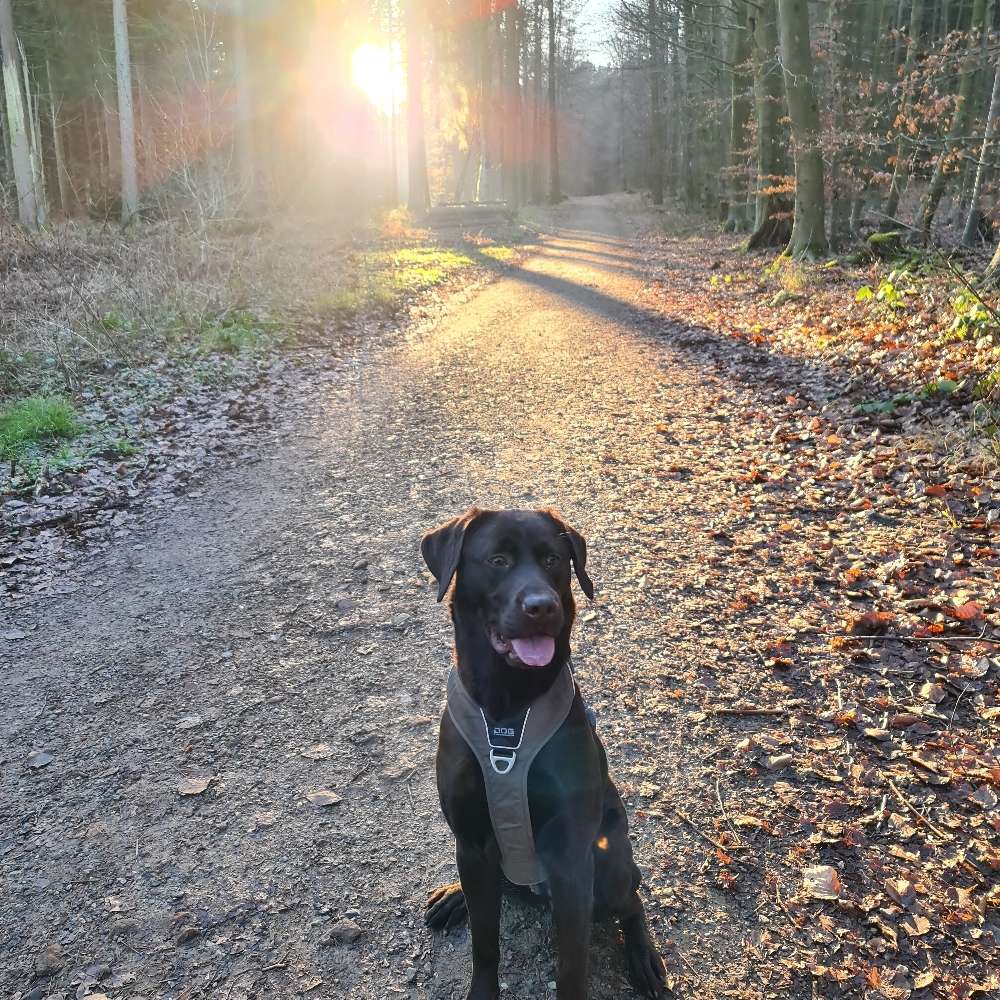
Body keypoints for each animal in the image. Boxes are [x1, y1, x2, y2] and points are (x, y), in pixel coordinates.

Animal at [418, 512, 668, 996]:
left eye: (554, 560)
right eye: (497, 560)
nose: (542, 606)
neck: (508, 707)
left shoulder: (571, 861)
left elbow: (572, 966)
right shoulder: (471, 842)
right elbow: (485, 945)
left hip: (610, 865)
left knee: (632, 901)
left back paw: (644, 958)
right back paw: (454, 896)